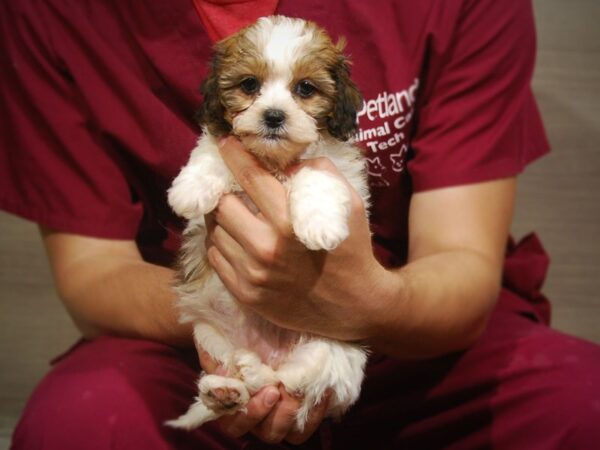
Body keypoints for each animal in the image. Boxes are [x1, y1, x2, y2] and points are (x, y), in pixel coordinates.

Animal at [166, 15, 368, 432]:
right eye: (249, 85)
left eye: (305, 88)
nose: (274, 115)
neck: (275, 160)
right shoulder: (224, 143)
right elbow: (212, 151)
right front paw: (191, 188)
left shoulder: (335, 167)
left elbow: (315, 173)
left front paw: (319, 224)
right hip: (209, 333)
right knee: (243, 376)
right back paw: (226, 390)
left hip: (335, 347)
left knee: (287, 382)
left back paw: (258, 376)